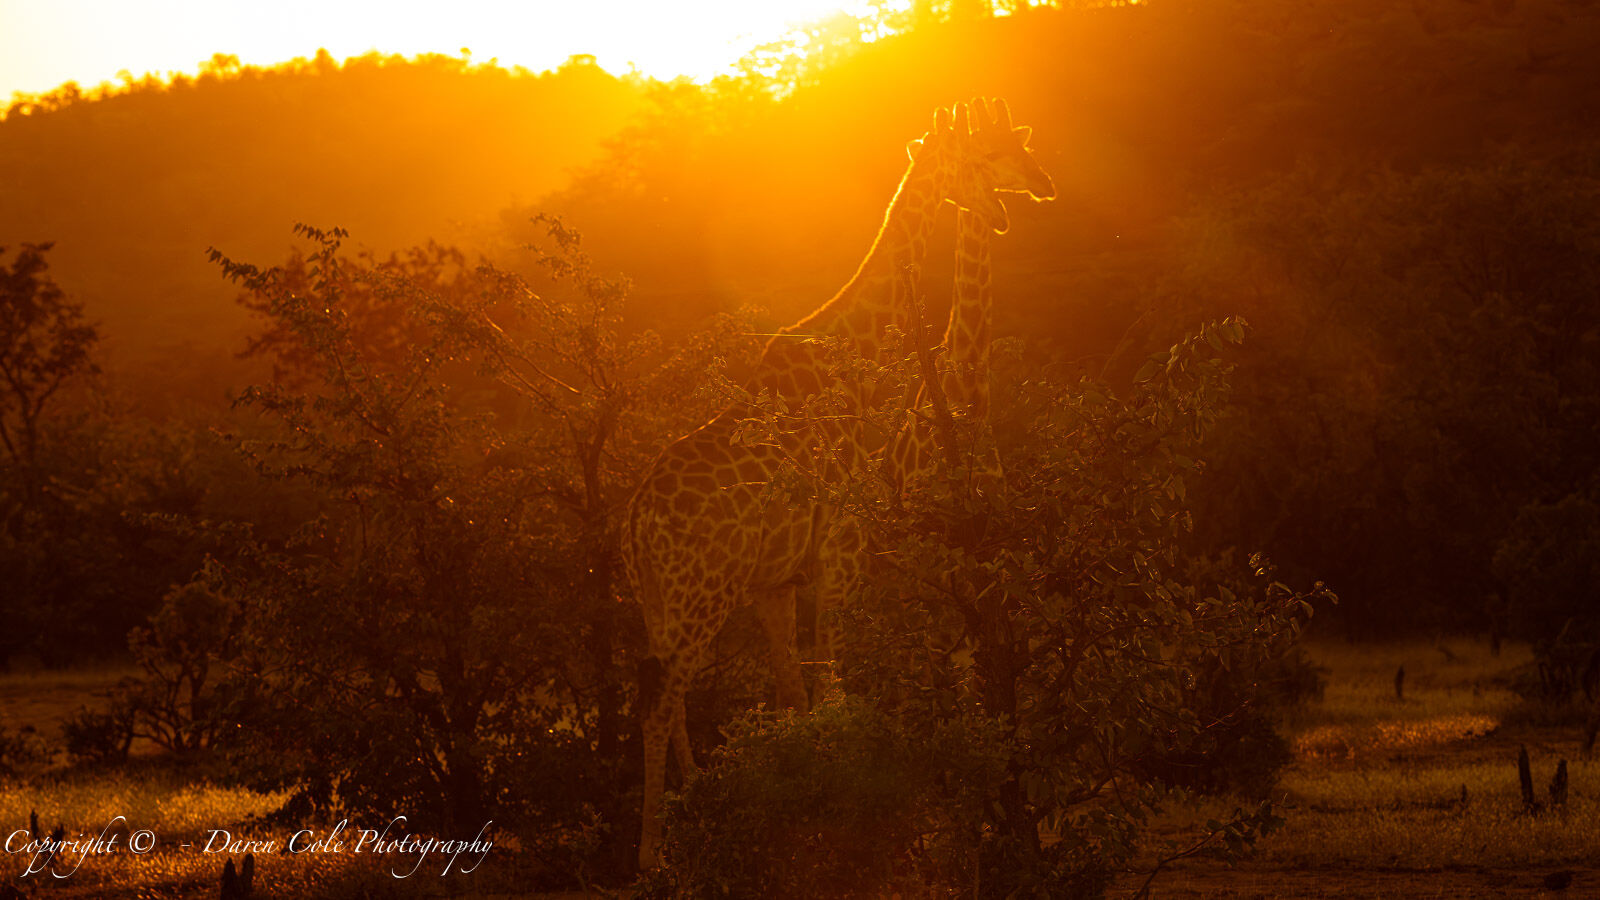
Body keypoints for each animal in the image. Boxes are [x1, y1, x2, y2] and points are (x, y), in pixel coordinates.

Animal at [625, 101, 1053, 867]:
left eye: (1020, 145)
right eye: (984, 157)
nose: (1042, 185)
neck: (857, 343)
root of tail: (637, 527)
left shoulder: (780, 576)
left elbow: (799, 689)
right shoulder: (843, 553)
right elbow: (832, 679)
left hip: (660, 601)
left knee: (661, 693)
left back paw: (699, 805)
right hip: (701, 594)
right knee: (657, 698)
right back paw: (656, 855)